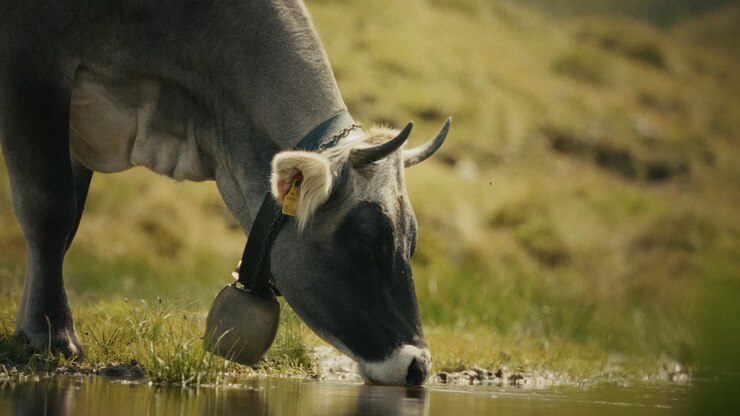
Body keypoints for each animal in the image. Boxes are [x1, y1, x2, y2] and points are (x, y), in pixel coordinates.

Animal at [0, 0, 449, 386]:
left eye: (412, 241)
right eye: (368, 238)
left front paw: (31, 327)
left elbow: (69, 223)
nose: (418, 366)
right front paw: (51, 336)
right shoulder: (33, 62)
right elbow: (51, 211)